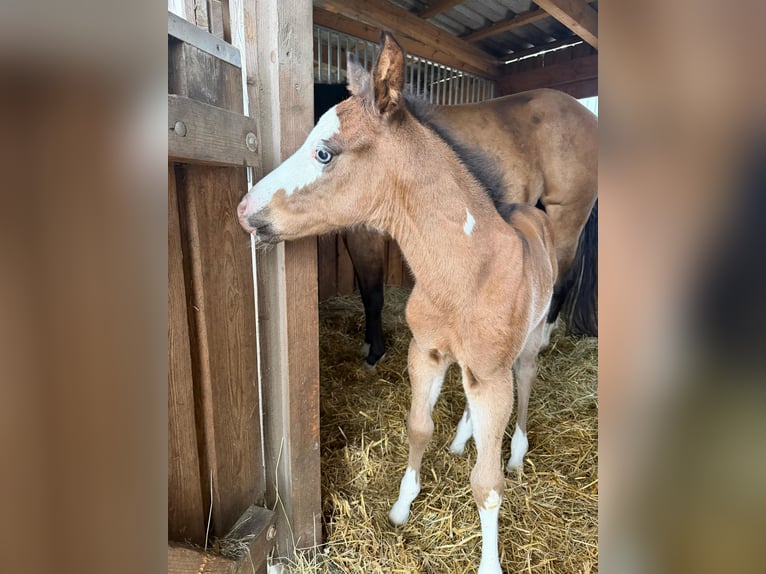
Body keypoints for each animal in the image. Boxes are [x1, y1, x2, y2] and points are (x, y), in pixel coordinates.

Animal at [238, 32, 560, 574]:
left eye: (324, 153)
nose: (244, 210)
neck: (466, 274)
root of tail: (531, 211)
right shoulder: (425, 352)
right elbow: (418, 428)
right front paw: (401, 507)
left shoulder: (492, 376)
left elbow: (487, 483)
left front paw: (490, 562)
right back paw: (462, 438)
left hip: (528, 344)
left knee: (528, 380)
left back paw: (516, 454)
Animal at [316, 81, 598, 368]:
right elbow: (366, 293)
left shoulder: (365, 236)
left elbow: (373, 295)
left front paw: (374, 355)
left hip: (567, 216)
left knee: (561, 280)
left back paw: (542, 340)